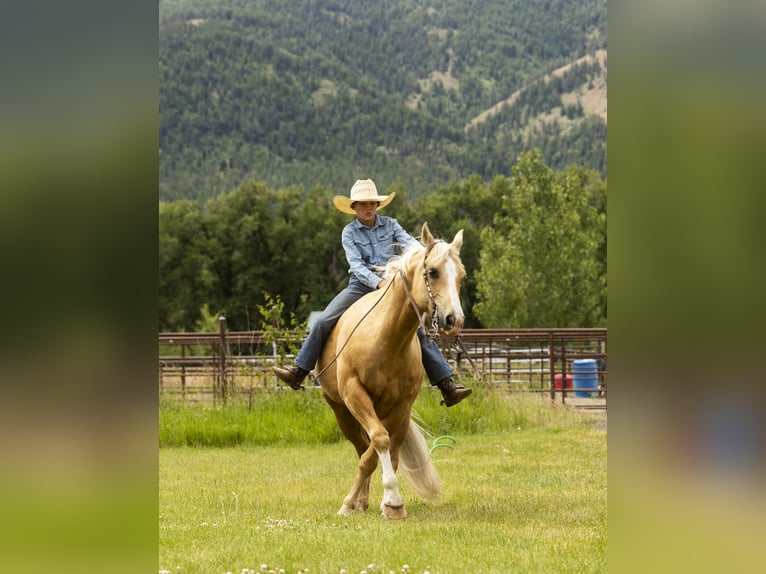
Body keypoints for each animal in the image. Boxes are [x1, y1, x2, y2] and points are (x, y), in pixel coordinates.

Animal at [316, 223, 464, 520]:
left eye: (462, 276)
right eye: (433, 272)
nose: (454, 320)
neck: (386, 338)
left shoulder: (401, 406)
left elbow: (380, 451)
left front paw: (391, 503)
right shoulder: (355, 395)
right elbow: (376, 443)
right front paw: (368, 502)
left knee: (379, 452)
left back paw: (364, 501)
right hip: (341, 412)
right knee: (362, 447)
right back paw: (357, 502)